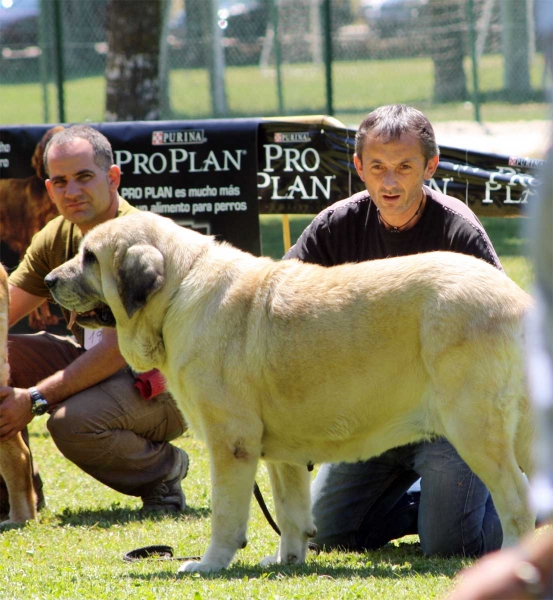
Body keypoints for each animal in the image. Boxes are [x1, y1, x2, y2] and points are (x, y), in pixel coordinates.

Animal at [45, 211, 532, 572]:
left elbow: (225, 512)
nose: (49, 280)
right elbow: (290, 511)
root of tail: (518, 299)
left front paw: (209, 563)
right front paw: (287, 560)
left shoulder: (231, 444)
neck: (179, 290)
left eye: (89, 257)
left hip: (476, 432)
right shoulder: (281, 454)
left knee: (517, 501)